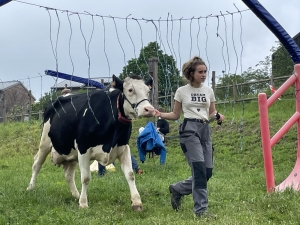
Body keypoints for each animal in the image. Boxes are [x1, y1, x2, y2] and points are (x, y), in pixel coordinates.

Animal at [26, 74, 155, 210]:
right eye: (130, 90)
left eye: (148, 91)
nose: (149, 109)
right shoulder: (83, 148)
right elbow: (86, 178)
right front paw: (83, 203)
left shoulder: (123, 147)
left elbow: (130, 174)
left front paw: (137, 202)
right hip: (45, 142)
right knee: (37, 164)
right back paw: (30, 187)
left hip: (72, 153)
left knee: (68, 174)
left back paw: (76, 195)